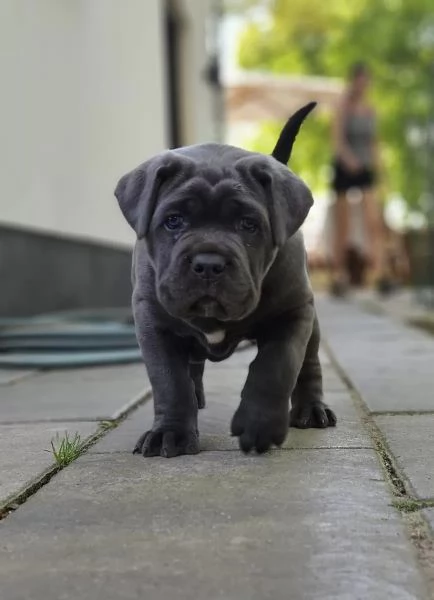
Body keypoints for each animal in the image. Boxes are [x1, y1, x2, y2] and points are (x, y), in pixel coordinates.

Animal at [114, 104, 336, 460]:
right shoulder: (153, 323)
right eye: (173, 221)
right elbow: (170, 382)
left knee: (310, 364)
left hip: (310, 319)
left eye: (248, 224)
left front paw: (259, 425)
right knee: (191, 369)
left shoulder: (292, 313)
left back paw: (311, 410)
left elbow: (276, 366)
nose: (208, 264)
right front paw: (170, 433)